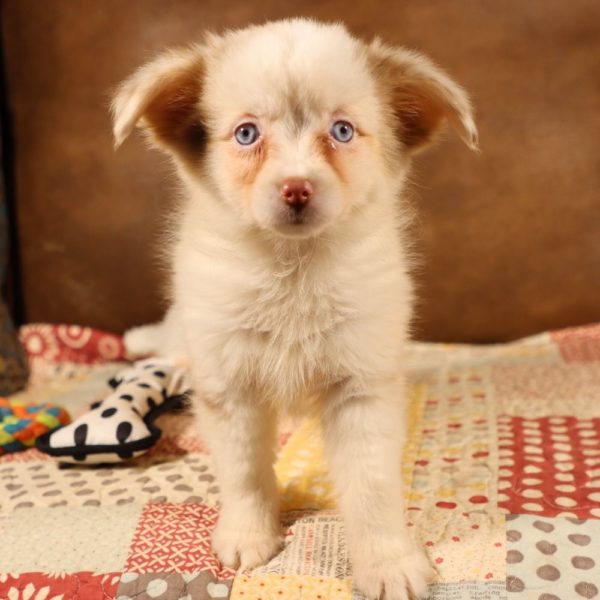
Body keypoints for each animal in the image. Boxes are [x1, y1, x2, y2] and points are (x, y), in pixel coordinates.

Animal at [112, 19, 478, 600]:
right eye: (246, 134)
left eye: (343, 131)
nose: (297, 189)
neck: (293, 272)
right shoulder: (228, 382)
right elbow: (243, 470)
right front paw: (248, 534)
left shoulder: (362, 385)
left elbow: (372, 486)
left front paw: (388, 562)